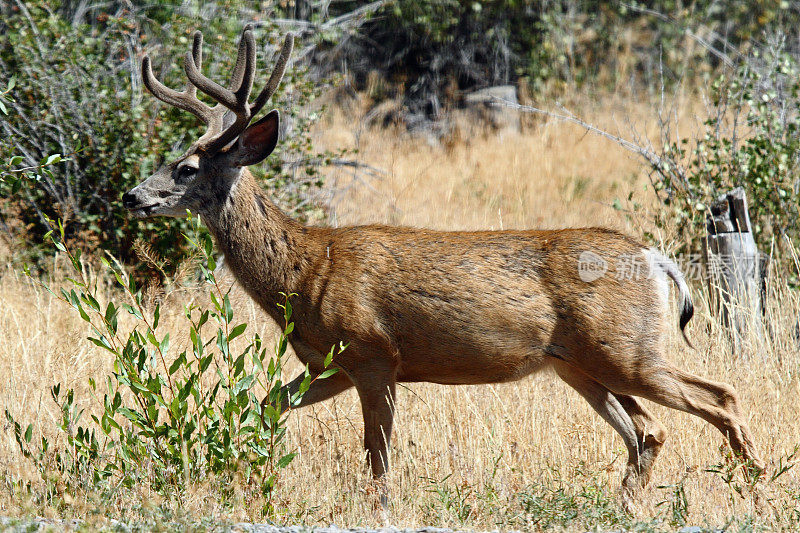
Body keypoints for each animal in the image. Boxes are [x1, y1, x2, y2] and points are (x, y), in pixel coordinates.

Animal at [123, 26, 764, 498]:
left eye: (186, 167)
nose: (132, 196)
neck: (307, 272)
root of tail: (656, 260)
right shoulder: (332, 365)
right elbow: (263, 407)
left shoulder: (374, 354)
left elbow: (378, 459)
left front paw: (380, 507)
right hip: (578, 364)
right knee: (648, 430)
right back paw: (632, 503)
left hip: (624, 350)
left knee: (717, 398)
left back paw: (755, 484)